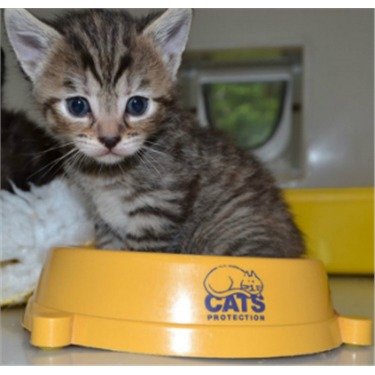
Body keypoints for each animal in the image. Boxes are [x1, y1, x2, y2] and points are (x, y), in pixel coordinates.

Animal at [4, 8, 306, 258]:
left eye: (137, 104)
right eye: (77, 106)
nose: (110, 140)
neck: (108, 177)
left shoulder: (159, 209)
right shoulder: (104, 220)